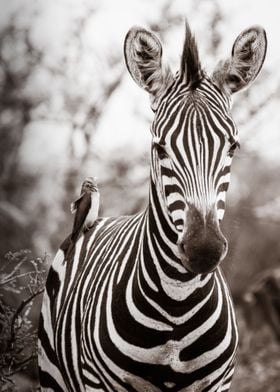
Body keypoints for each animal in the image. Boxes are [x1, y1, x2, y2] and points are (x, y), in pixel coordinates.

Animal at [37, 20, 266, 392]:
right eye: (159, 148)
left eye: (233, 147)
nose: (204, 249)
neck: (177, 300)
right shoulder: (98, 383)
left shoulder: (218, 383)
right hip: (52, 373)